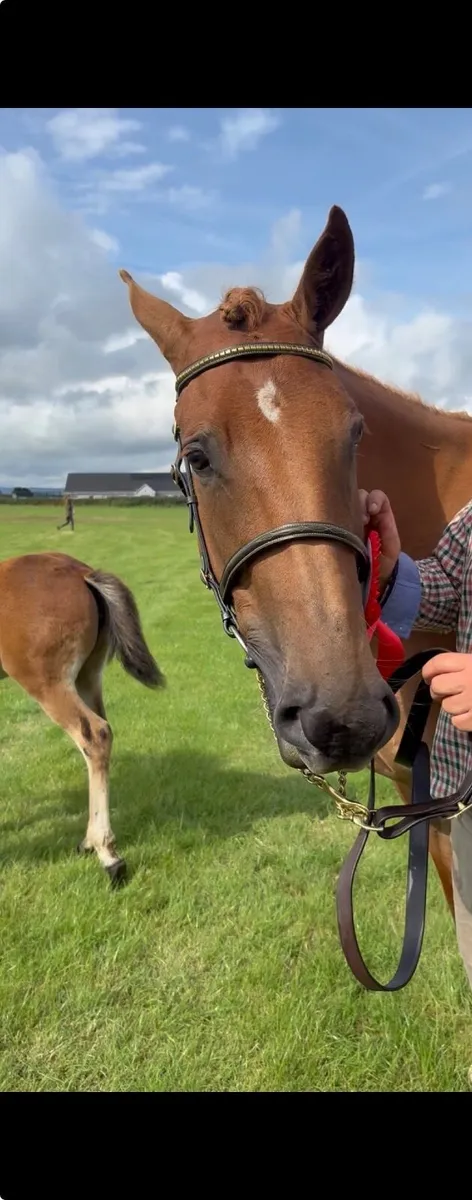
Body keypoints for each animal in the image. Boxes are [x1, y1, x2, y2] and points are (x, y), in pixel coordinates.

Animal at [0, 551, 164, 883]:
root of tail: (82, 573)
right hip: (88, 674)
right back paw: (91, 841)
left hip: (49, 683)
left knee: (94, 734)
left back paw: (109, 856)